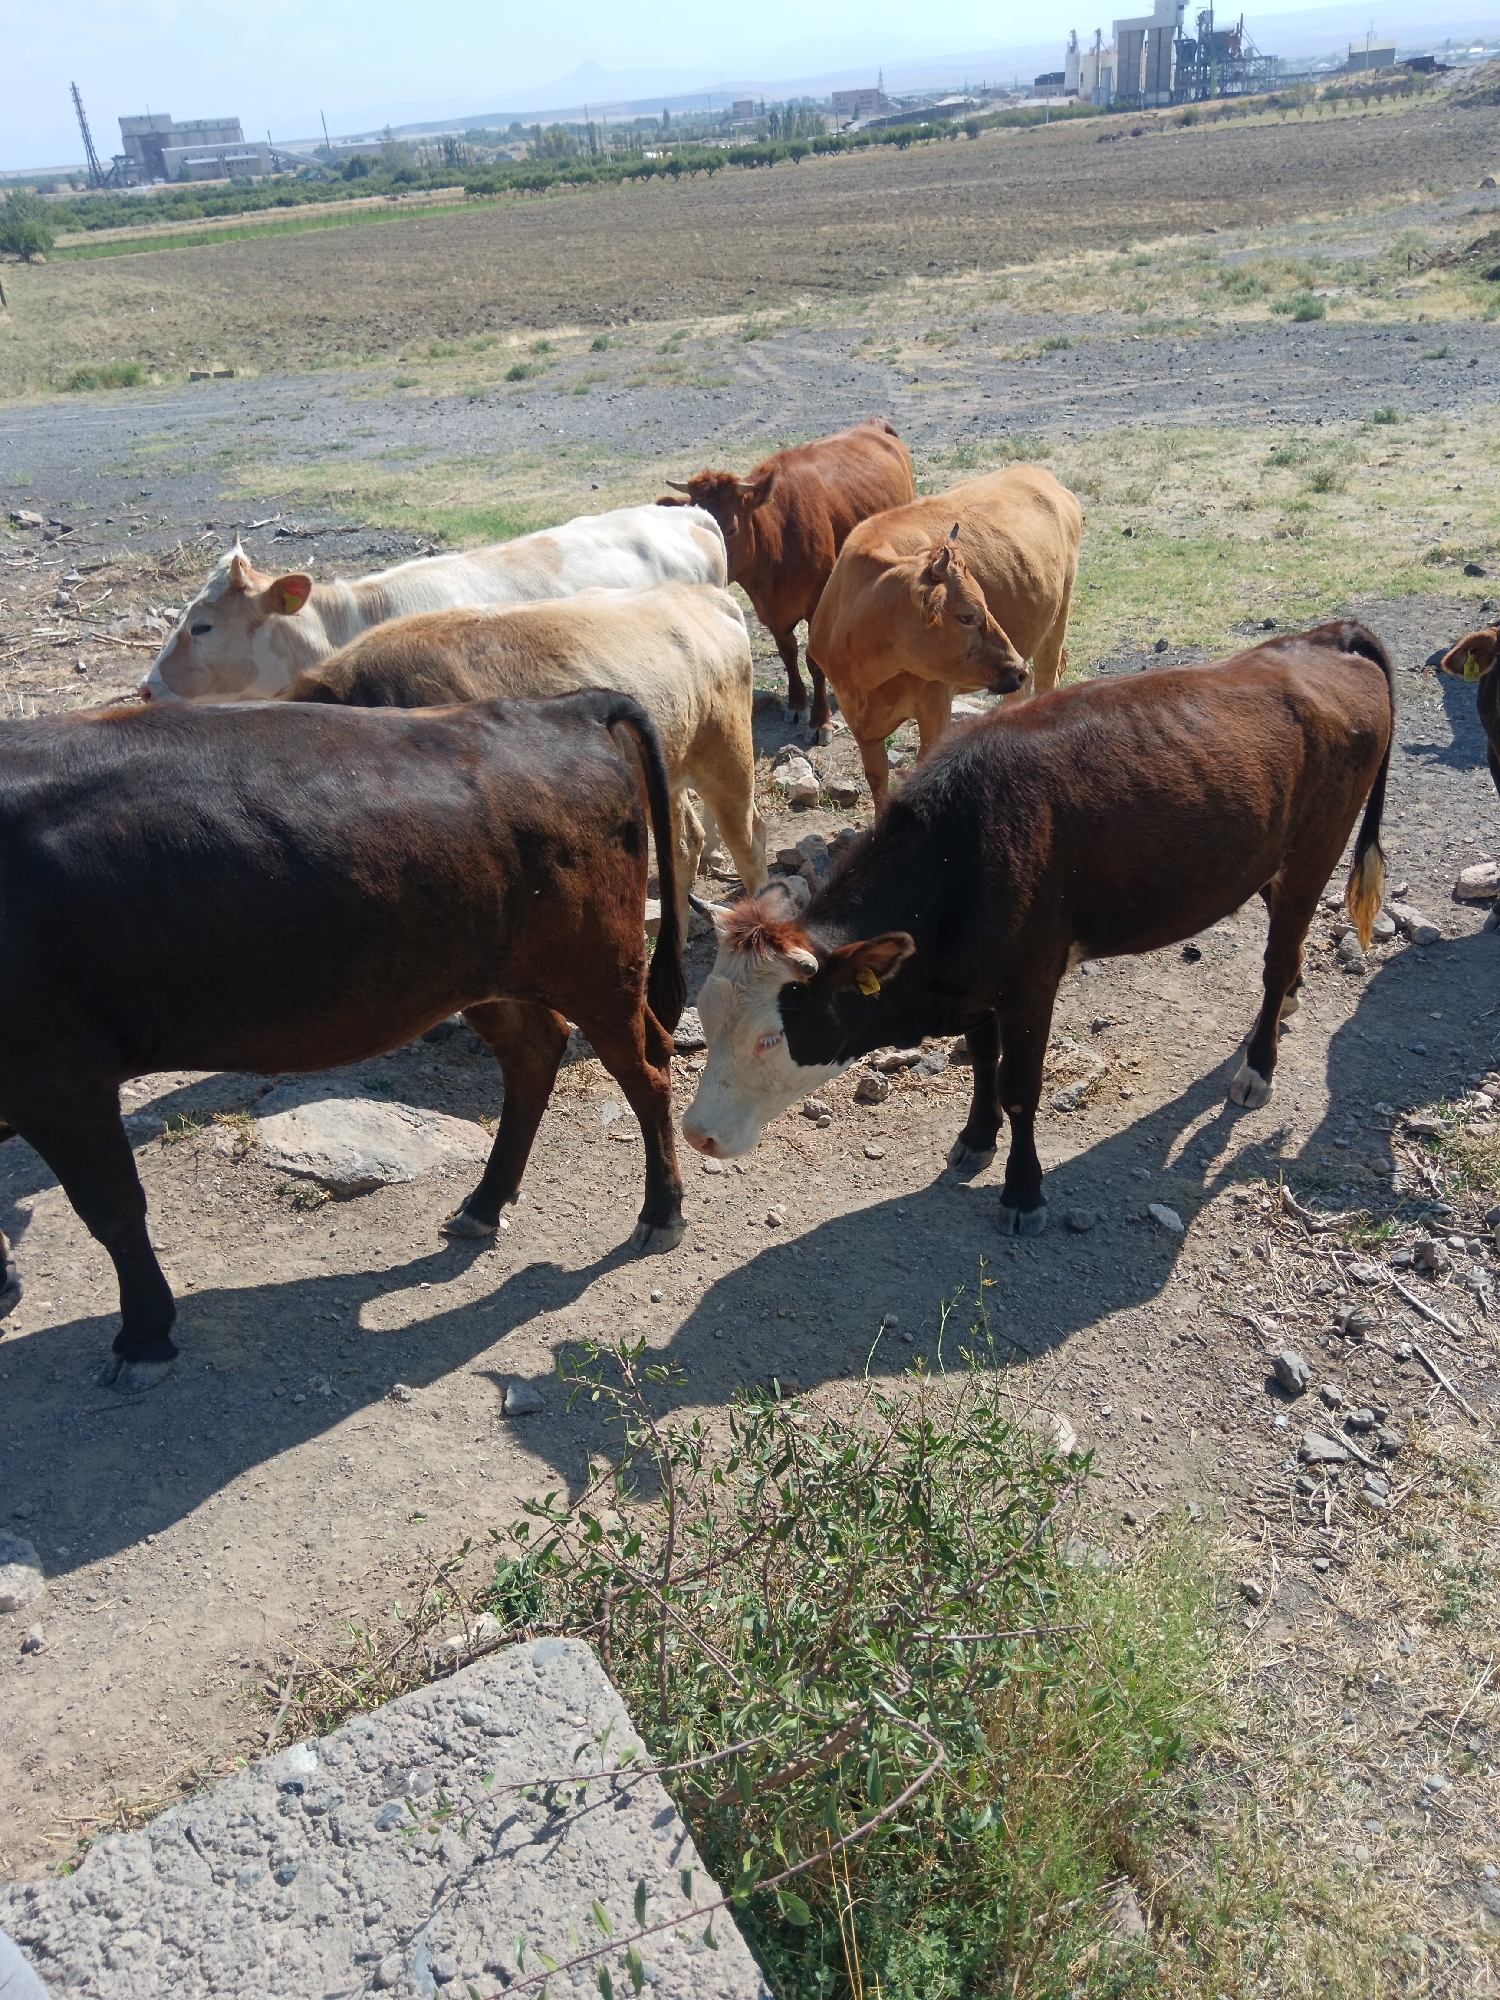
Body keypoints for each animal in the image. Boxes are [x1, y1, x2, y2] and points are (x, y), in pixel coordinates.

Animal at [0, 690, 686, 1393]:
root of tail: (565, 705)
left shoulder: (55, 1076)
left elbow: (112, 1209)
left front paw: (142, 1338)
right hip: (484, 974)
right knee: (536, 1051)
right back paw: (485, 1204)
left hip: (597, 971)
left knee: (647, 1069)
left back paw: (660, 1212)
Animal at [659, 419, 915, 740]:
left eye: (731, 528)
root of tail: (874, 423)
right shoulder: (771, 611)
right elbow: (787, 653)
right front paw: (796, 704)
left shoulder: (817, 603)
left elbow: (814, 662)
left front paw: (820, 721)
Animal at [682, 622, 1394, 1238]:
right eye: (708, 1017)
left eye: (772, 1038)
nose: (695, 1133)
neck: (961, 853)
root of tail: (1328, 636)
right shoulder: (973, 984)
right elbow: (982, 1063)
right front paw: (975, 1139)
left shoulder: (1030, 983)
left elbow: (1021, 1089)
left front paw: (1023, 1191)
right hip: (1273, 859)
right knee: (1286, 952)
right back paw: (1280, 1014)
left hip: (1314, 854)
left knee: (1277, 961)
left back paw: (1258, 1065)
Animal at [807, 465, 1083, 810]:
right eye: (968, 615)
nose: (1017, 667)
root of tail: (1037, 472)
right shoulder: (860, 724)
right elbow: (877, 781)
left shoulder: (935, 704)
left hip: (1057, 620)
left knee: (1046, 681)